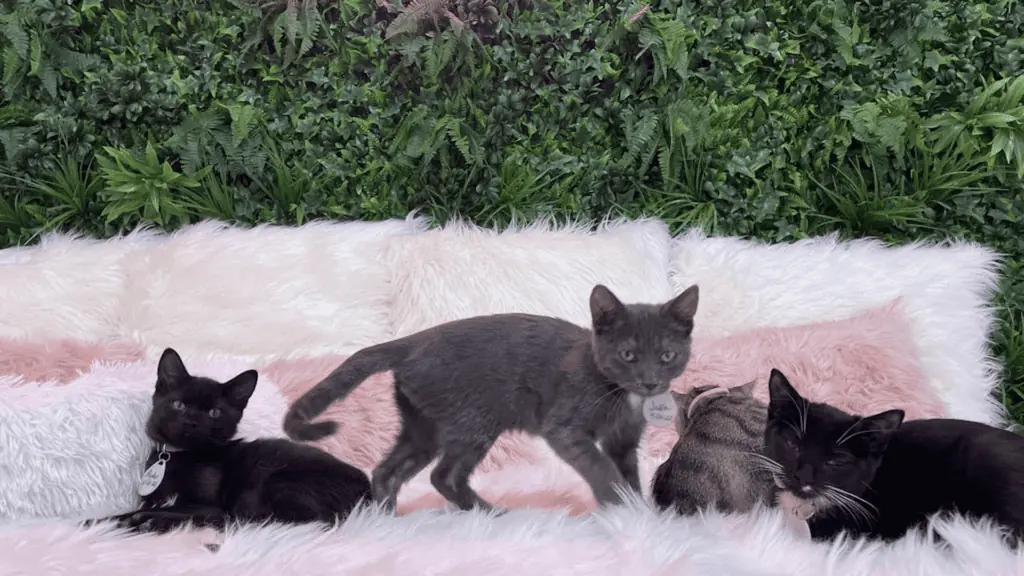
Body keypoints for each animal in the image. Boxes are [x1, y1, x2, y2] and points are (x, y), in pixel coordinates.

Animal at [87, 348, 368, 532]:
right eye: (178, 405)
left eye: (214, 413)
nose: (192, 422)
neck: (181, 456)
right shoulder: (154, 496)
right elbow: (139, 507)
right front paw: (95, 521)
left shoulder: (206, 504)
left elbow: (164, 509)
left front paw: (139, 519)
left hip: (276, 481)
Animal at [280, 282, 700, 510]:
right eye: (628, 355)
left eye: (667, 356)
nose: (650, 382)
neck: (621, 395)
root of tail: (412, 341)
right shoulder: (564, 427)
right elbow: (600, 467)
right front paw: (619, 505)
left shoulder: (623, 441)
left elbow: (627, 470)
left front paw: (636, 508)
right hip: (473, 421)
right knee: (443, 476)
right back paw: (493, 513)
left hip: (422, 423)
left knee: (388, 471)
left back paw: (384, 518)